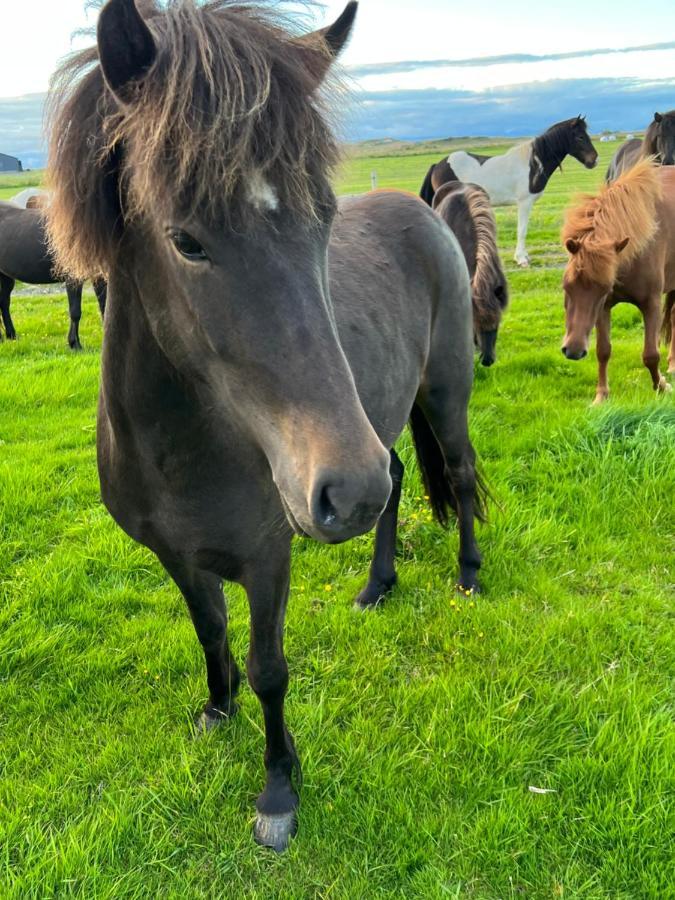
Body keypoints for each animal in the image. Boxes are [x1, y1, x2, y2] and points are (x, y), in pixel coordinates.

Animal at [0, 202, 106, 350]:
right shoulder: (73, 278)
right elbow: (75, 312)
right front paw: (75, 344)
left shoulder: (99, 276)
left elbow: (105, 308)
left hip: (6, 276)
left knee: (4, 303)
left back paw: (11, 335)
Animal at [45, 0, 484, 852]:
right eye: (185, 240)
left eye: (324, 219)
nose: (342, 488)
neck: (182, 451)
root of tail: (425, 208)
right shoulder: (177, 558)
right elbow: (210, 633)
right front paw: (216, 710)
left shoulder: (268, 556)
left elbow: (268, 667)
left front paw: (279, 789)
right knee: (398, 481)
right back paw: (376, 585)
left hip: (437, 399)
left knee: (457, 470)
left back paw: (470, 574)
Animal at [420, 116, 600, 266]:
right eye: (580, 137)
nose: (594, 160)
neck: (533, 164)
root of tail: (437, 165)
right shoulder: (524, 202)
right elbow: (522, 230)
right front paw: (521, 259)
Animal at [560, 158, 675, 404]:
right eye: (566, 287)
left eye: (603, 288)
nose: (573, 351)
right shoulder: (603, 307)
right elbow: (603, 351)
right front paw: (601, 396)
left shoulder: (651, 303)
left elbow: (650, 354)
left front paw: (661, 387)